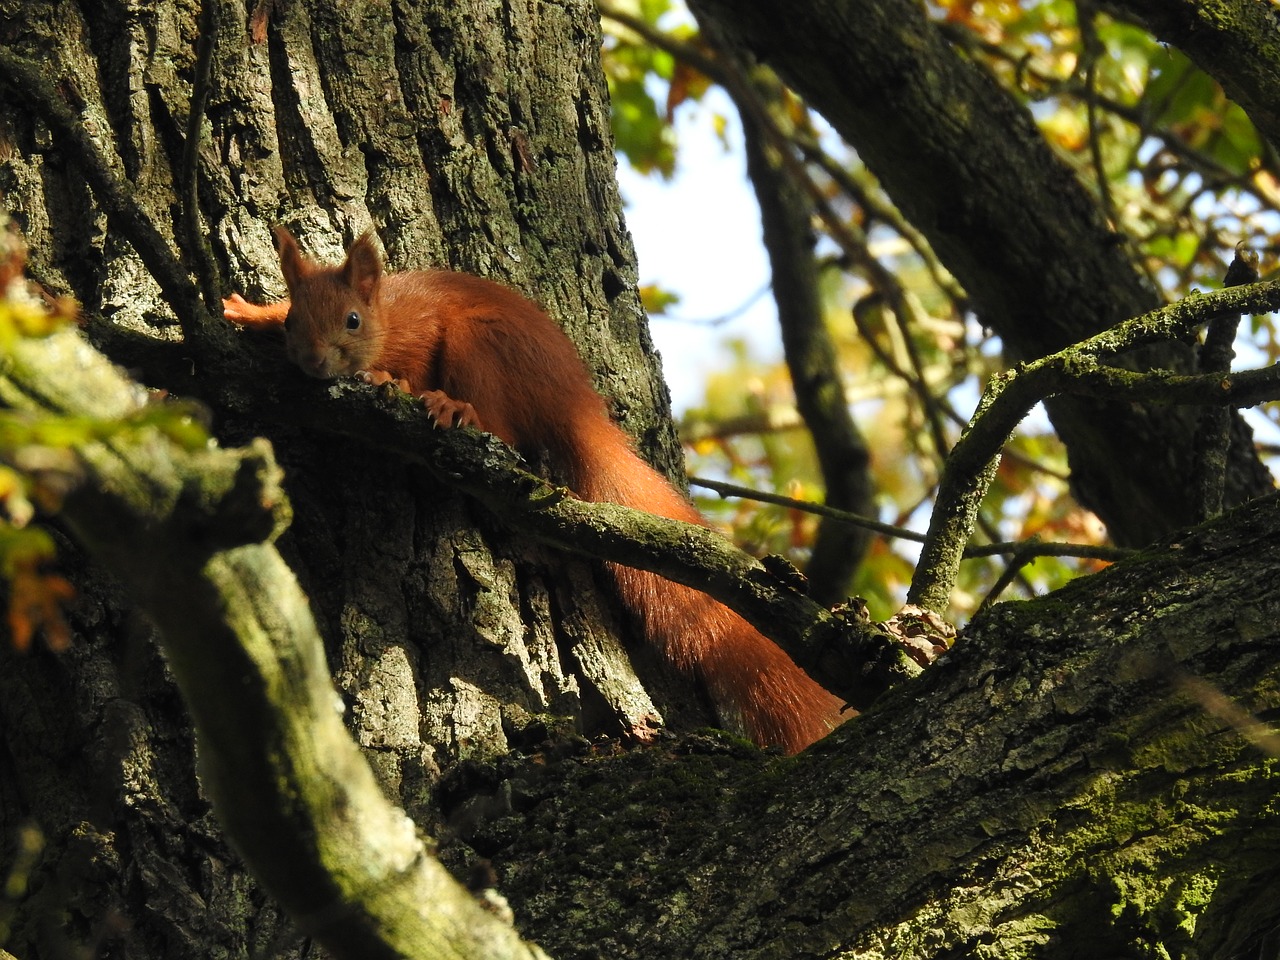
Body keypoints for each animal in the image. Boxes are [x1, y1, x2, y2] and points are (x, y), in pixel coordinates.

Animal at [225, 229, 849, 757]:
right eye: (294, 322)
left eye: (352, 321)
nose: (312, 361)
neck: (388, 315)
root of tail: (574, 406)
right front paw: (249, 312)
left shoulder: (424, 329)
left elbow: (410, 368)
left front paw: (386, 380)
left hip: (483, 346)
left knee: (499, 428)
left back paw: (454, 407)